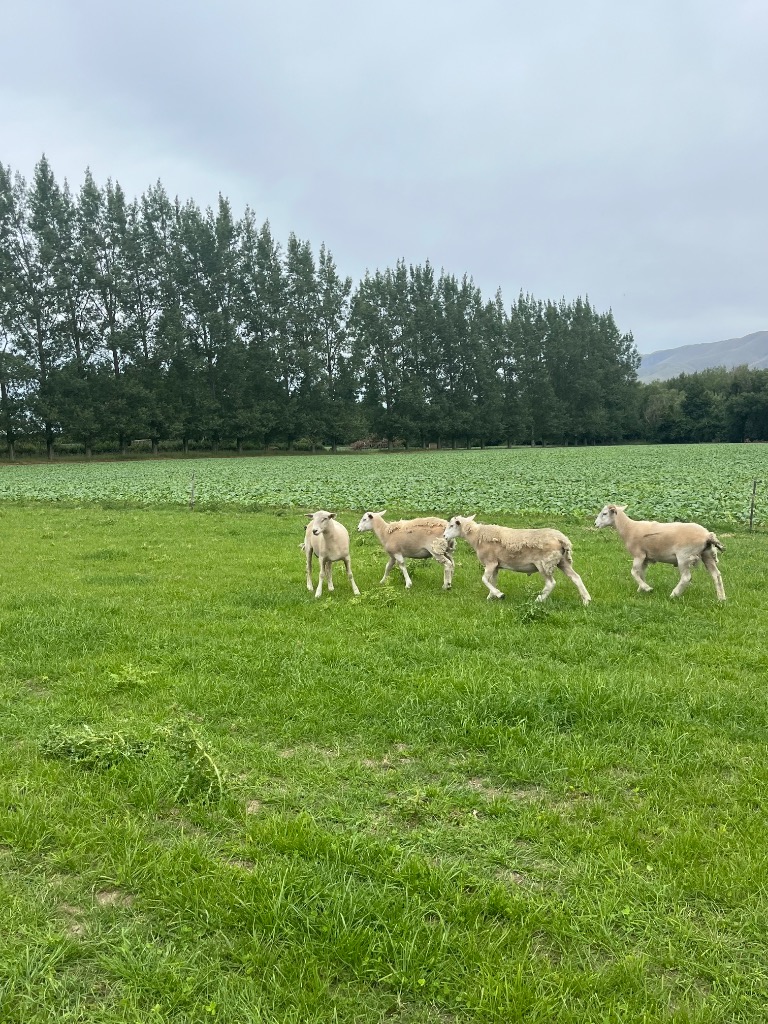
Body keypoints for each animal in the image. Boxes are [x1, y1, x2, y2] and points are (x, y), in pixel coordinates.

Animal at [443, 514, 591, 604]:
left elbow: (484, 579)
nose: (444, 536)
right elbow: (493, 581)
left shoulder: (490, 562)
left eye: (451, 525)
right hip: (562, 561)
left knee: (551, 583)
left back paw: (538, 600)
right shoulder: (496, 565)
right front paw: (491, 597)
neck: (477, 535)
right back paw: (586, 600)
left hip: (544, 563)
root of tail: (563, 540)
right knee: (576, 578)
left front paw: (499, 595)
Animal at [594, 504, 726, 600]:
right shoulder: (646, 558)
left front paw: (647, 588)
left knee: (686, 577)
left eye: (604, 513)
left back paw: (674, 594)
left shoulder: (639, 555)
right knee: (716, 575)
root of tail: (707, 535)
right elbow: (641, 573)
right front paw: (640, 590)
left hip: (684, 556)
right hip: (707, 554)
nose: (595, 524)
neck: (628, 528)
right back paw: (721, 598)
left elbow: (634, 572)